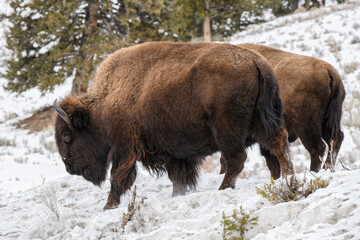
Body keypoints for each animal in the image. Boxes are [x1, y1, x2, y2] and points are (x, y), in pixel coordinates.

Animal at [54, 41, 296, 210]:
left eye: (67, 136)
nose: (69, 167)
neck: (104, 102)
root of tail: (257, 62)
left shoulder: (125, 148)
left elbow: (117, 177)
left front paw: (108, 205)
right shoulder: (171, 152)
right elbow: (177, 177)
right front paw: (177, 195)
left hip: (228, 131)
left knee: (236, 159)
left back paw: (223, 189)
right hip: (262, 122)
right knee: (278, 143)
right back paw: (288, 177)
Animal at [219, 43, 346, 178]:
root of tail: (329, 71)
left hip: (306, 127)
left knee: (318, 147)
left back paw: (313, 172)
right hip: (327, 121)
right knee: (335, 139)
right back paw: (327, 168)